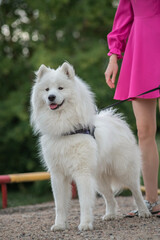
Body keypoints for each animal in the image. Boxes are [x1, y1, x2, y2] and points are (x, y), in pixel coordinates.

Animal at [30, 61, 150, 231]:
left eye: (60, 88)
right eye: (46, 89)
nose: (51, 97)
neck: (66, 130)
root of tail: (116, 120)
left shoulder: (83, 173)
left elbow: (84, 202)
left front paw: (85, 224)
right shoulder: (58, 174)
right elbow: (60, 205)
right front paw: (59, 225)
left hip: (124, 170)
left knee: (136, 191)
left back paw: (144, 211)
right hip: (99, 179)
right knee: (110, 198)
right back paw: (110, 215)